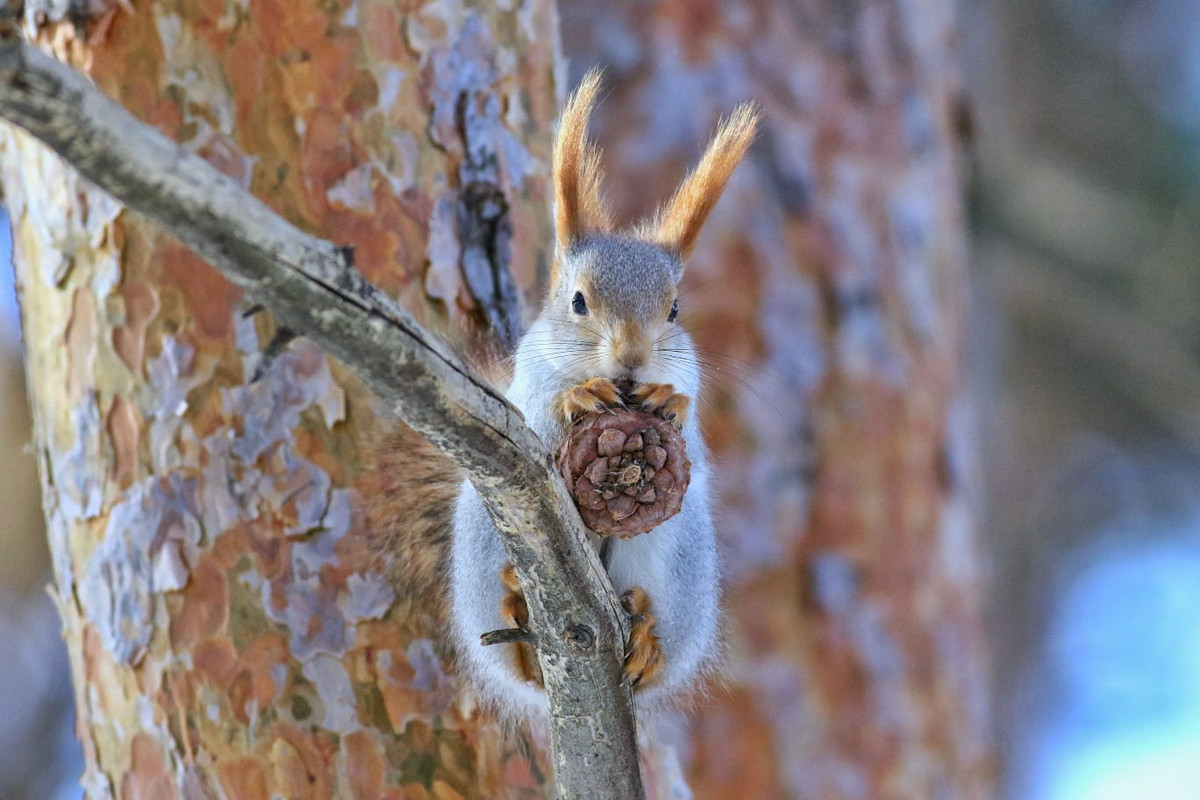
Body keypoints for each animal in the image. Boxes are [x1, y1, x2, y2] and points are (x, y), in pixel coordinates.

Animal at [364, 71, 753, 724]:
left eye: (674, 309)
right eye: (577, 301)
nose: (631, 359)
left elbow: (691, 424)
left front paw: (668, 399)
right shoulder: (527, 380)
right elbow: (541, 415)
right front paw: (580, 395)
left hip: (682, 568)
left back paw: (647, 640)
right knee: (515, 656)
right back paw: (520, 620)